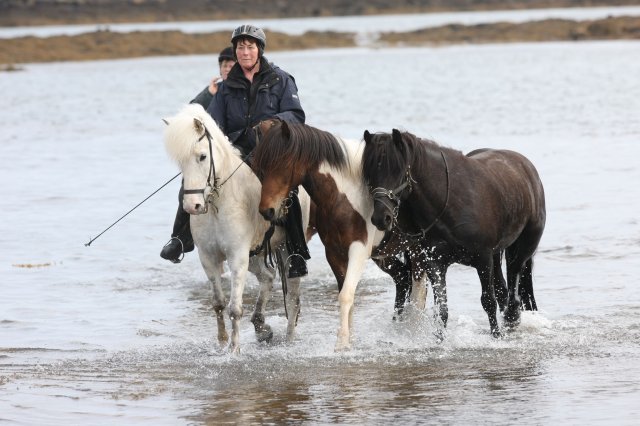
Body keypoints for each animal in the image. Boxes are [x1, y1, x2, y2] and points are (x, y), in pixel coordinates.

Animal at [164, 104, 312, 352]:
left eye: (202, 156)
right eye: (180, 162)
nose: (192, 206)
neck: (219, 204)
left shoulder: (237, 256)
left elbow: (235, 308)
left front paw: (234, 350)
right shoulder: (209, 257)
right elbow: (218, 303)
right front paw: (222, 342)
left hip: (285, 249)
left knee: (293, 296)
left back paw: (289, 338)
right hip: (254, 254)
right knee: (268, 277)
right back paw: (262, 328)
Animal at [362, 130, 548, 336]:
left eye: (397, 170)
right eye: (370, 172)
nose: (381, 218)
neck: (450, 201)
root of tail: (525, 166)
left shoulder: (483, 259)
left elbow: (488, 301)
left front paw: (496, 336)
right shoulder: (436, 264)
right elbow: (442, 310)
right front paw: (439, 339)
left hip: (522, 248)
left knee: (514, 277)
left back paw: (511, 319)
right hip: (496, 252)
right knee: (503, 289)